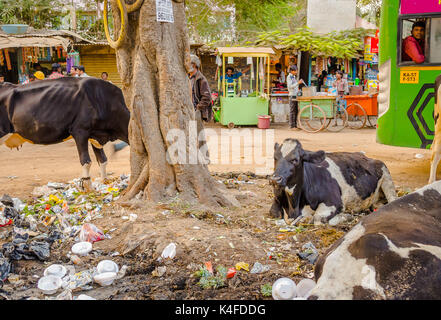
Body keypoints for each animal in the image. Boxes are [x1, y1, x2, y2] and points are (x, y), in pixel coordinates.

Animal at [0, 76, 130, 189]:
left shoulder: (96, 135)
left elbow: (103, 160)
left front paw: (104, 182)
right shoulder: (80, 131)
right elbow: (86, 161)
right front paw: (88, 188)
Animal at [270, 139, 398, 225]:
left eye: (295, 160)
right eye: (275, 158)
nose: (275, 179)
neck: (295, 204)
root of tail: (365, 156)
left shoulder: (334, 201)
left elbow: (318, 218)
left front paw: (346, 216)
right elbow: (274, 212)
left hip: (386, 174)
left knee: (393, 200)